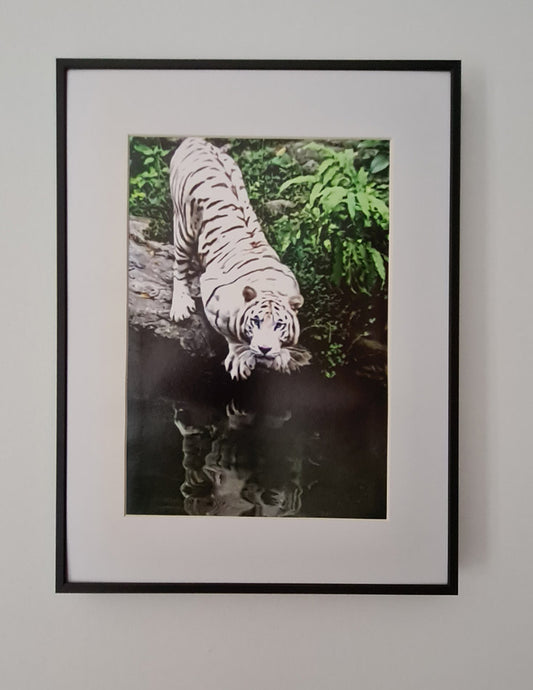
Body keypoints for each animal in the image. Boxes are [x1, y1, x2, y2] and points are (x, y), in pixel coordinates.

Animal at [169, 137, 311, 380]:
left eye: (279, 325)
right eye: (256, 321)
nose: (265, 349)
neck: (268, 286)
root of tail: (195, 140)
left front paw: (282, 356)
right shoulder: (214, 302)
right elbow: (232, 336)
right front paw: (240, 359)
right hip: (184, 226)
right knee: (179, 266)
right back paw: (181, 305)